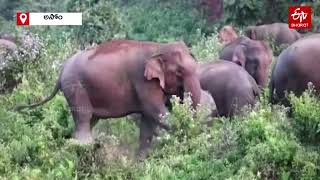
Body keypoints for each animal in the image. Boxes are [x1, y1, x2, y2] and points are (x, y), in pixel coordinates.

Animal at [16, 39, 201, 156]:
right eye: (179, 73)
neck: (158, 48)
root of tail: (61, 70)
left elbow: (149, 119)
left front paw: (140, 161)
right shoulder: (143, 82)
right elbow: (156, 111)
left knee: (89, 120)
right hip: (75, 86)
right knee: (83, 117)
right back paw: (86, 147)